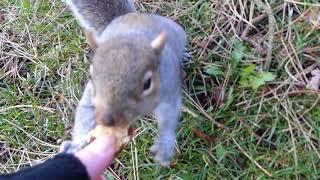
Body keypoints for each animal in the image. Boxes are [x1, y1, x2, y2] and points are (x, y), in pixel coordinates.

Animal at [60, 0, 188, 167]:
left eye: (147, 83)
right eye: (91, 76)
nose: (107, 120)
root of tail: (128, 15)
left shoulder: (169, 86)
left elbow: (170, 114)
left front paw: (164, 145)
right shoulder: (91, 96)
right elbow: (85, 114)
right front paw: (76, 145)